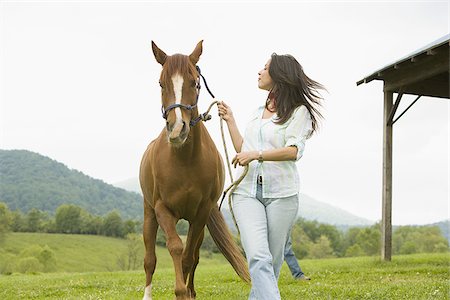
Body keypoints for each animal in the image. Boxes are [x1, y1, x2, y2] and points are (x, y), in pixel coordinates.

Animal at [140, 40, 250, 300]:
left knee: (195, 255)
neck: (185, 161)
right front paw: (180, 291)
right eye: (161, 83)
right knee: (150, 260)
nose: (177, 129)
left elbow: (189, 257)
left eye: (195, 82)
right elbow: (175, 248)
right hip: (149, 214)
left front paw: (186, 293)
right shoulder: (162, 209)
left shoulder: (201, 213)